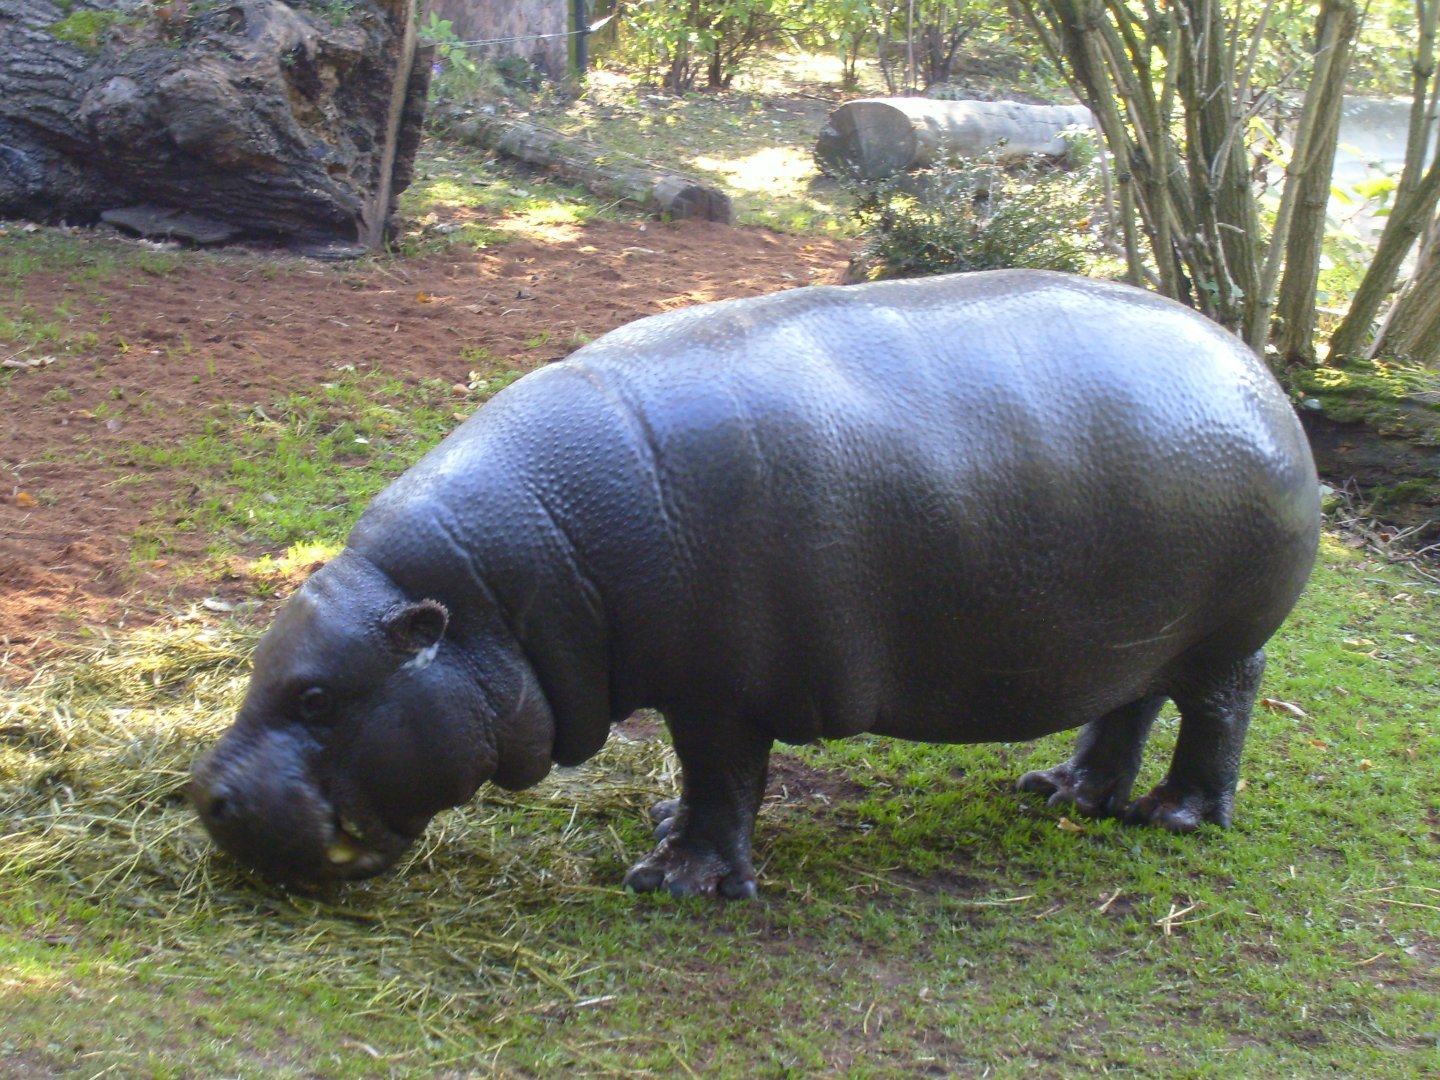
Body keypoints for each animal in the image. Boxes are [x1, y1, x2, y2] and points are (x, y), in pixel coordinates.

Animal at [190, 269, 1319, 898]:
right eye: (265, 665)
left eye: (318, 696)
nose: (206, 795)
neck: (494, 597)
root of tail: (1255, 371)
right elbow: (702, 784)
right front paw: (661, 835)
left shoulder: (720, 692)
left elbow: (723, 778)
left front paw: (676, 882)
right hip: (1135, 630)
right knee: (1126, 705)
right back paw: (1061, 793)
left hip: (1224, 638)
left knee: (1220, 711)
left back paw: (1176, 818)